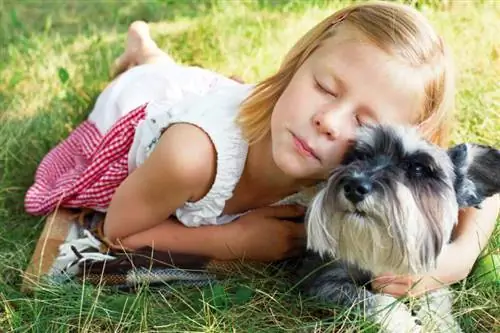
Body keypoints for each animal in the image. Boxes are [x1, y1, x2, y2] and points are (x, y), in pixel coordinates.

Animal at [294, 124, 500, 332]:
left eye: (417, 168)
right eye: (360, 156)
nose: (353, 186)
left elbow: (438, 296)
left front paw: (442, 323)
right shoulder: (324, 280)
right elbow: (373, 301)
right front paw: (406, 324)